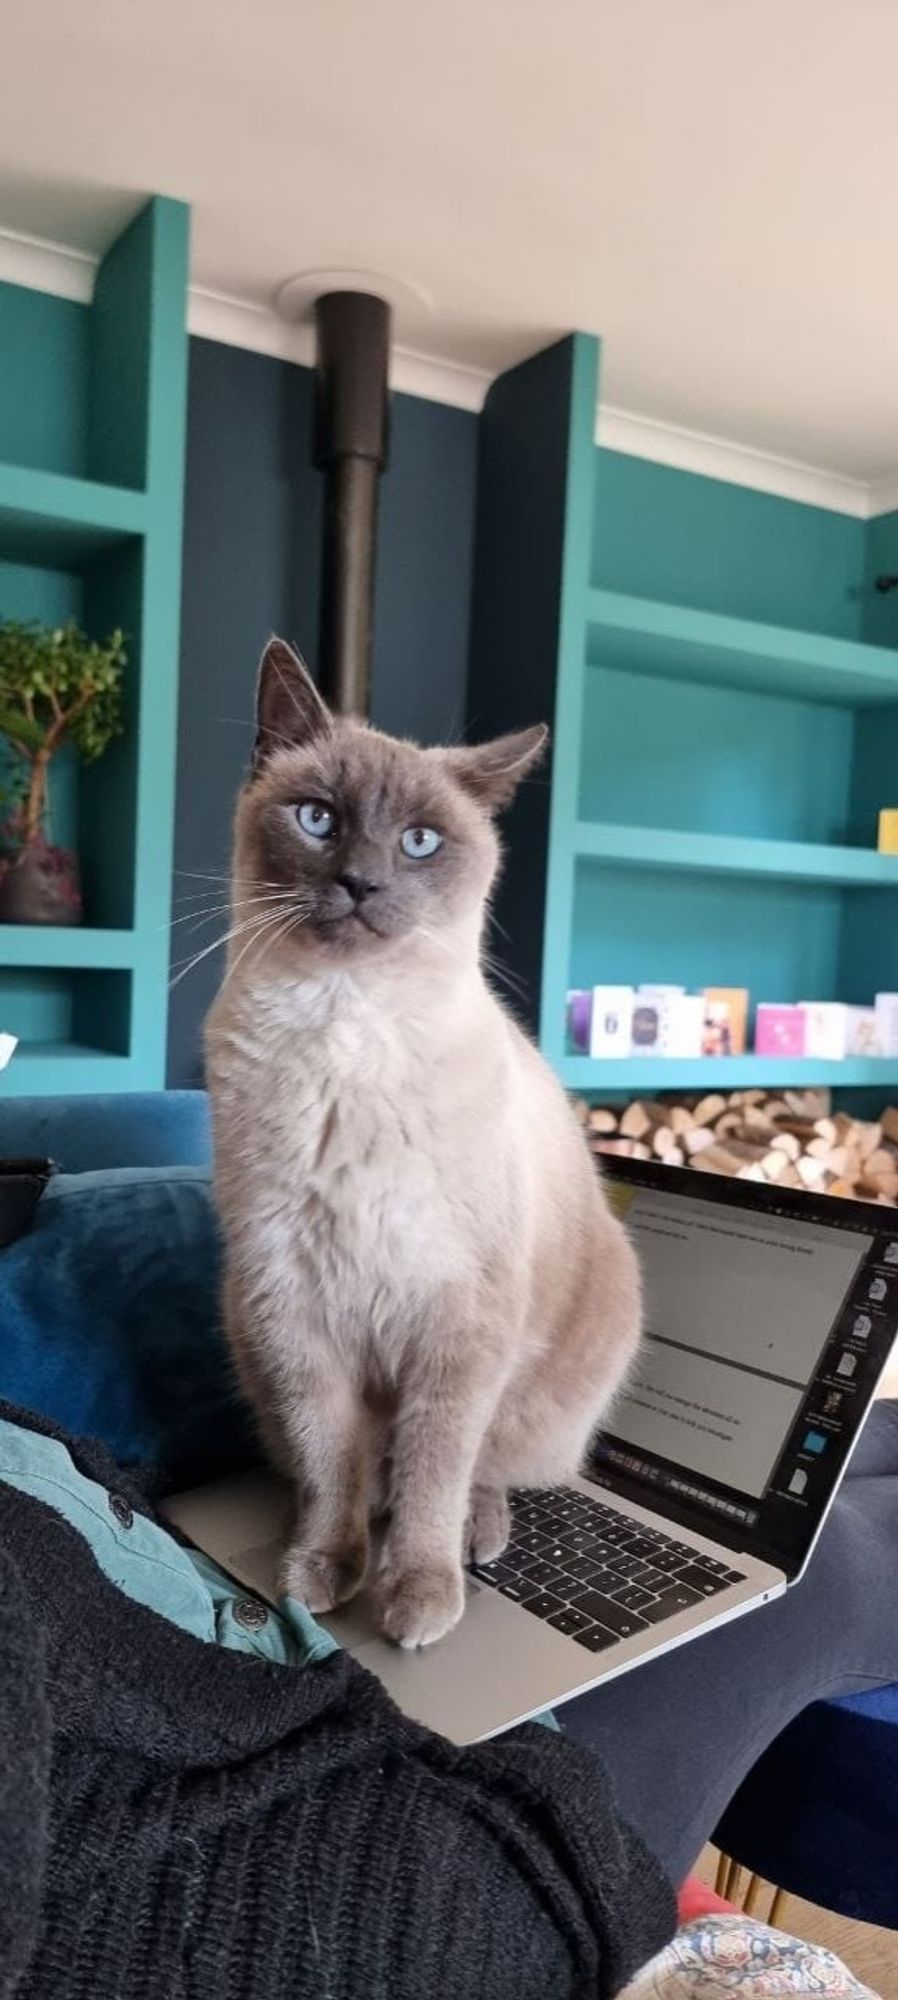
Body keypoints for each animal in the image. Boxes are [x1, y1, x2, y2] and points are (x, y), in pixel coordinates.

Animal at [205, 644, 636, 1656]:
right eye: (317, 819)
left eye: (420, 843)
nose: (361, 882)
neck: (342, 1028)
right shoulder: (294, 1307)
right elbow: (332, 1460)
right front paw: (323, 1572)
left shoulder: (457, 1323)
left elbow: (435, 1467)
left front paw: (417, 1596)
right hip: (242, 1320)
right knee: (340, 1468)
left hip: (541, 1378)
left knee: (485, 1468)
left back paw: (474, 1541)